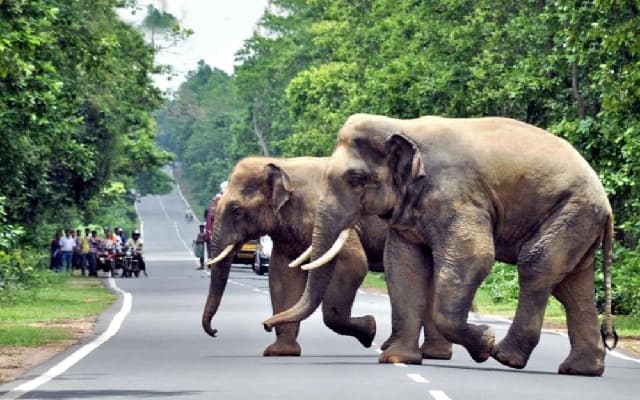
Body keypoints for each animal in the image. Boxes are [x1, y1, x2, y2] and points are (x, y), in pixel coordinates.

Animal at [202, 156, 452, 358]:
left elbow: (352, 263)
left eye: (236, 210)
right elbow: (283, 274)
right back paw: (427, 352)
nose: (214, 331)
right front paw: (280, 352)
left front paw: (370, 330)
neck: (284, 165)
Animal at [263, 114, 614, 376]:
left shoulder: (455, 194)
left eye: (355, 179)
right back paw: (580, 370)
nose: (265, 325)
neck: (403, 127)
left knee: (536, 266)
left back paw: (506, 356)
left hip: (572, 210)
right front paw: (397, 359)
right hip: (577, 218)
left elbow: (475, 256)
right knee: (572, 287)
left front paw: (485, 343)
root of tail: (605, 200)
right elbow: (403, 264)